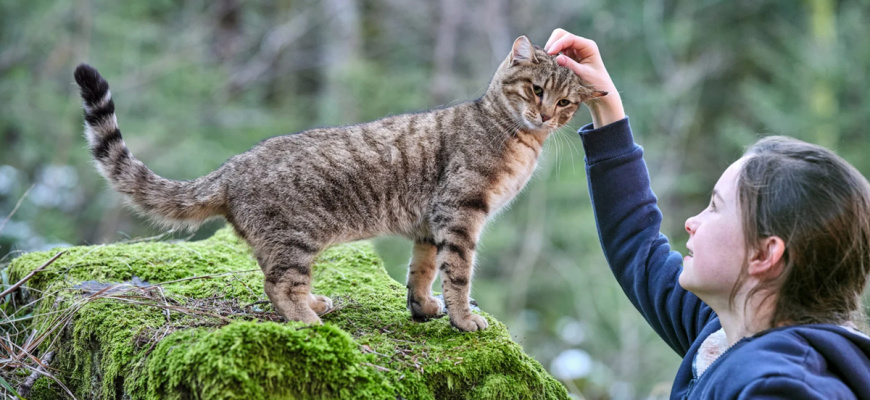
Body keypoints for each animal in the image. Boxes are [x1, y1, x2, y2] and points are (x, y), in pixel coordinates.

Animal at [75, 36, 608, 332]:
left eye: (565, 103)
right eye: (536, 90)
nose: (546, 115)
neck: (517, 137)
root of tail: (231, 167)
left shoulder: (429, 224)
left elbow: (422, 271)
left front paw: (422, 308)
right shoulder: (460, 213)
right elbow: (458, 274)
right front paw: (462, 318)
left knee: (276, 279)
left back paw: (316, 304)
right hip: (296, 237)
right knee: (277, 285)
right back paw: (310, 322)